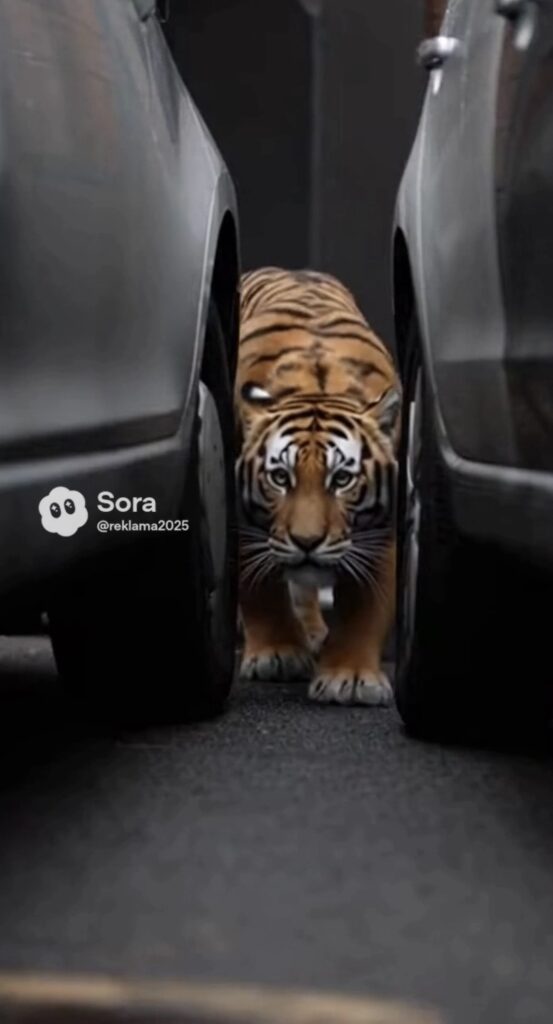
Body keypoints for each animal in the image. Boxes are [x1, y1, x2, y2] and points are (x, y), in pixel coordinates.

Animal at [235, 266, 401, 706]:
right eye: (280, 477)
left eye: (342, 479)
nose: (307, 542)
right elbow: (257, 586)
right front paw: (278, 655)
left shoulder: (382, 526)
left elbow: (366, 605)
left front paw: (352, 677)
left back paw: (313, 632)